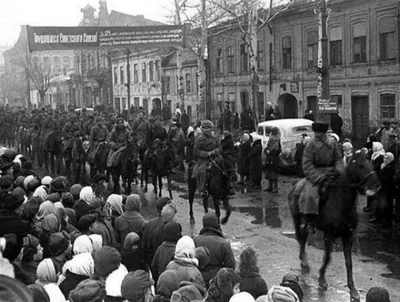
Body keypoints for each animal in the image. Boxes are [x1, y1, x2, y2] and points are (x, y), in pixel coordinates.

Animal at [290, 153, 380, 302]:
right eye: (360, 166)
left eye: (371, 164)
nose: (375, 185)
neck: (342, 203)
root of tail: (296, 183)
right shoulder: (329, 234)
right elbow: (327, 257)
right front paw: (321, 279)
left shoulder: (348, 236)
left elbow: (349, 263)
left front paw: (353, 290)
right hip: (297, 219)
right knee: (301, 239)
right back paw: (304, 263)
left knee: (303, 238)